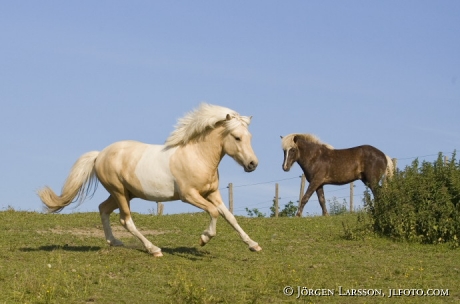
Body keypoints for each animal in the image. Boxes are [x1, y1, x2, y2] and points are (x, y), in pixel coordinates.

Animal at [38, 103, 262, 255]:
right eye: (237, 137)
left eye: (250, 137)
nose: (252, 164)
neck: (197, 156)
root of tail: (99, 154)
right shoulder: (189, 196)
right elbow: (214, 212)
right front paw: (204, 239)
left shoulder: (212, 193)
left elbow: (230, 217)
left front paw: (253, 245)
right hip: (119, 192)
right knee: (125, 220)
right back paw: (153, 249)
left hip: (125, 193)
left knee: (103, 209)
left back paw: (114, 242)